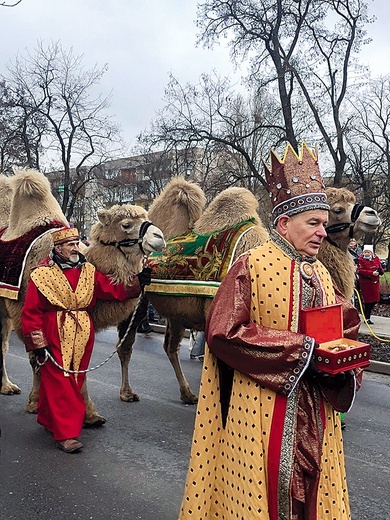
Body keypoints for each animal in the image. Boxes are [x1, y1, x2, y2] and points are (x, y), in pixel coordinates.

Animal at [112, 179, 380, 406]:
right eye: (336, 209)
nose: (373, 214)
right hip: (137, 300)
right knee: (125, 344)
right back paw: (127, 393)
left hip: (176, 312)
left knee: (170, 346)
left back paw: (187, 394)